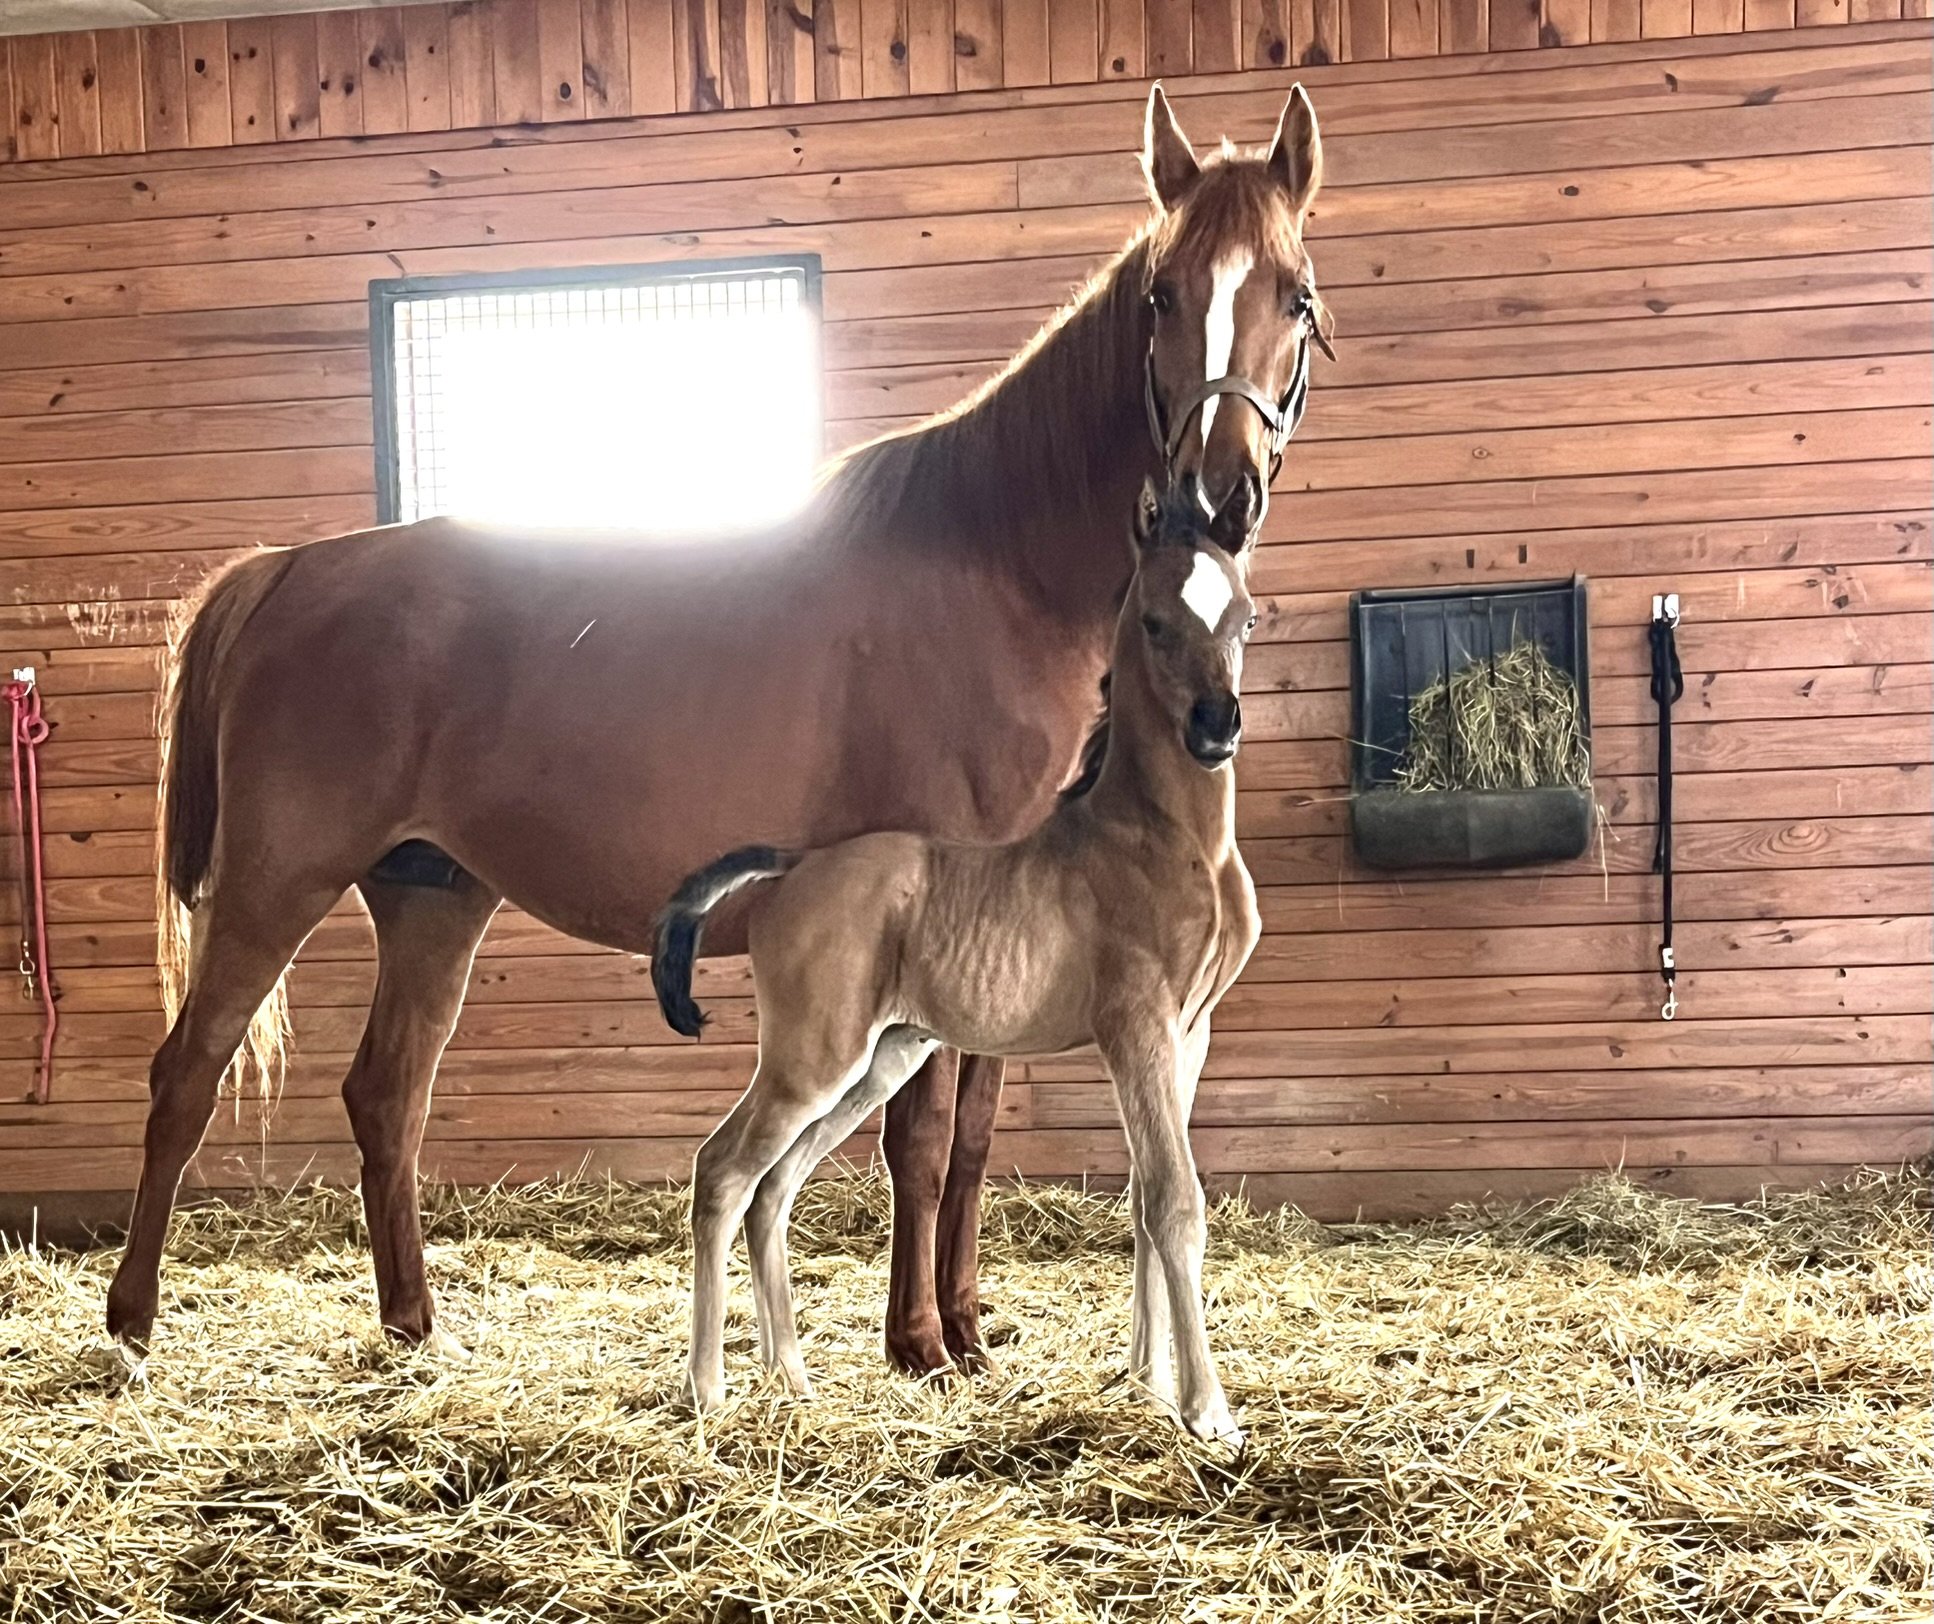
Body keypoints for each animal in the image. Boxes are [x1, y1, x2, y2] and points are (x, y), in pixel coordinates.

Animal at [654, 485, 1260, 1441]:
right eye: (1155, 622)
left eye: (1245, 618)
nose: (1216, 726)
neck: (1165, 840)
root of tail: (792, 865)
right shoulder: (1136, 1027)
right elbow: (1175, 1199)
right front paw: (1207, 1410)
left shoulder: (1189, 1033)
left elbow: (1141, 1198)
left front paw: (1148, 1381)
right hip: (813, 1056)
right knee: (723, 1170)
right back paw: (708, 1388)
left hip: (881, 1059)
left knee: (775, 1185)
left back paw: (792, 1376)